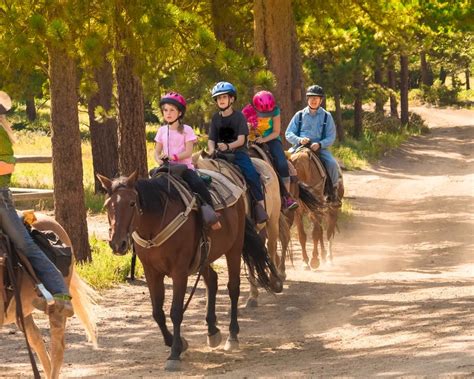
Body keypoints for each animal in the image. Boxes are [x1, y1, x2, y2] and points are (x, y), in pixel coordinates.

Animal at [98, 171, 280, 372]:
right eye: (107, 205)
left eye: (131, 203)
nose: (117, 243)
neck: (157, 224)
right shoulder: (151, 272)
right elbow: (157, 312)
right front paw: (176, 342)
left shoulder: (179, 271)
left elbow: (176, 311)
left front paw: (175, 353)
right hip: (204, 256)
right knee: (212, 281)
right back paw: (212, 331)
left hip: (234, 247)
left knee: (233, 288)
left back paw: (232, 336)